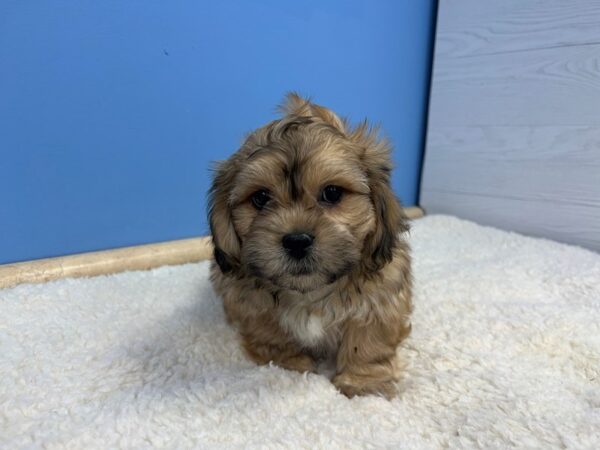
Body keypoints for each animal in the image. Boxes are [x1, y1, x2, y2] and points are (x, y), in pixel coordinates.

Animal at [207, 94, 412, 398]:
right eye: (260, 198)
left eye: (332, 193)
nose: (297, 241)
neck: (308, 292)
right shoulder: (248, 303)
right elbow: (270, 332)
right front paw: (290, 364)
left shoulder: (380, 298)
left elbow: (367, 342)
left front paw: (363, 382)